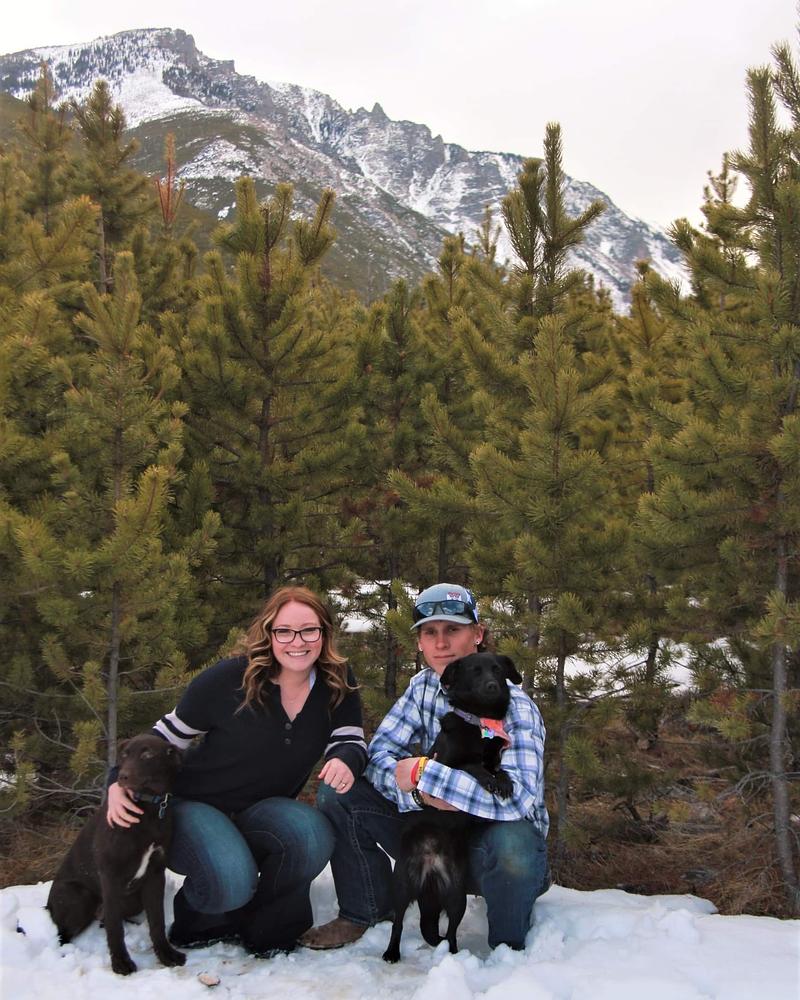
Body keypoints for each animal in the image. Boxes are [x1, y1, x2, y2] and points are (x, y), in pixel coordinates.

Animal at [46, 733, 186, 975]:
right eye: (124, 754)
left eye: (147, 754)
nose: (122, 777)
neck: (147, 810)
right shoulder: (111, 876)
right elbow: (114, 928)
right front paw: (121, 962)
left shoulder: (155, 874)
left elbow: (157, 921)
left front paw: (166, 954)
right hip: (79, 898)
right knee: (64, 933)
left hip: (132, 899)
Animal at [382, 652, 522, 962]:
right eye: (475, 671)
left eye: (497, 669)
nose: (493, 686)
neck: (480, 722)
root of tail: (430, 867)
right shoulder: (444, 762)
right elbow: (470, 766)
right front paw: (488, 778)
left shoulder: (495, 757)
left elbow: (499, 768)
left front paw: (504, 781)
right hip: (401, 885)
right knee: (397, 923)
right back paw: (391, 952)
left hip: (456, 894)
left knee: (451, 932)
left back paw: (453, 954)